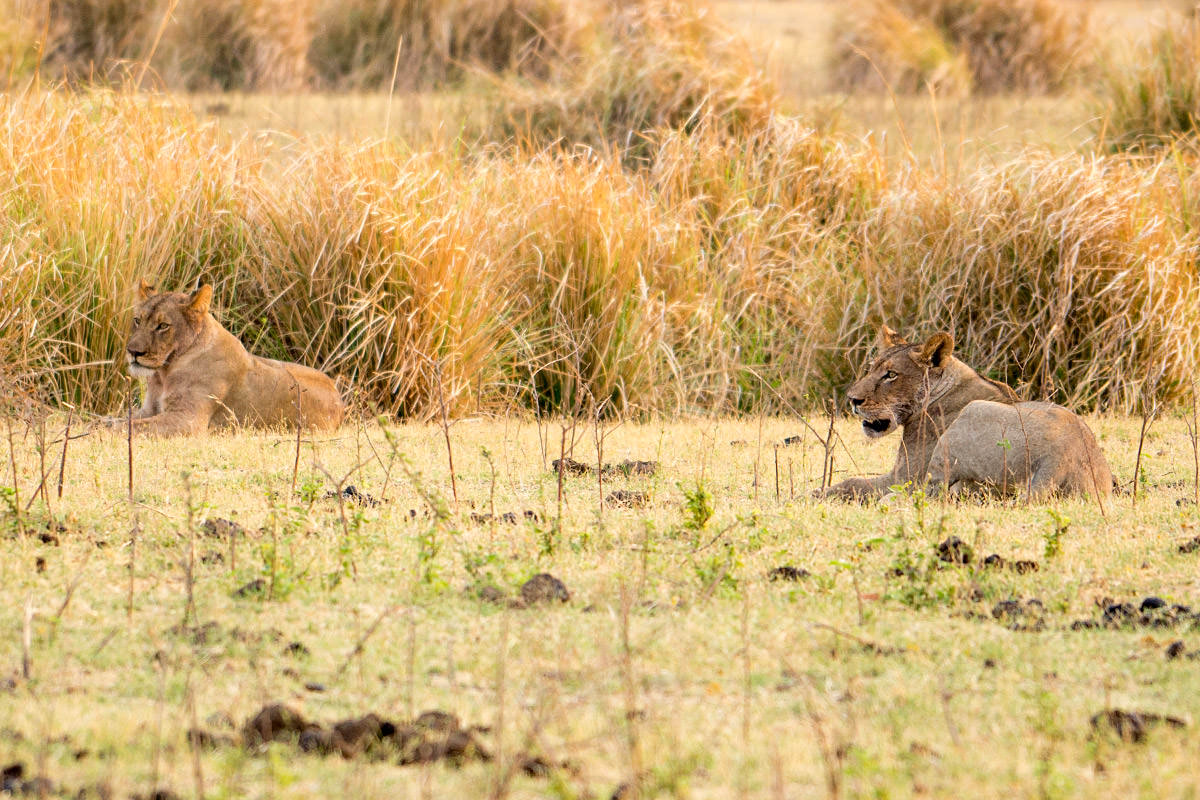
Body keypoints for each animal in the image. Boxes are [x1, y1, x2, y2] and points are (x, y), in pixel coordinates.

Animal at [108, 278, 345, 434]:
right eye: (138, 320)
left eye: (163, 326)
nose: (133, 352)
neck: (165, 372)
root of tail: (338, 396)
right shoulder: (149, 409)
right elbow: (114, 421)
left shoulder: (187, 420)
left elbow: (127, 427)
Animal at [820, 326, 1108, 501]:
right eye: (871, 370)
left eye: (891, 375)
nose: (852, 400)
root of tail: (1061, 459)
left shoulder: (904, 477)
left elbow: (851, 483)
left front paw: (813, 495)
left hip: (970, 417)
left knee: (933, 493)